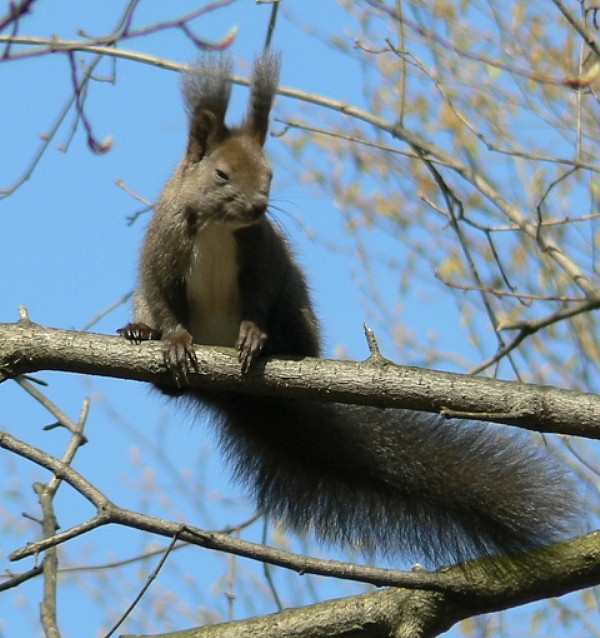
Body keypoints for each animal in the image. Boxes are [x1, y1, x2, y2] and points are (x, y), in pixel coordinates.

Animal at [118, 51, 576, 568]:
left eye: (270, 174)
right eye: (221, 174)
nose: (259, 206)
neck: (219, 227)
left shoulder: (265, 257)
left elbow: (260, 295)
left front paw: (254, 334)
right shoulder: (161, 253)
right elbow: (162, 297)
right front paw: (174, 340)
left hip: (297, 299)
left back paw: (276, 346)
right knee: (151, 320)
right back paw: (141, 333)